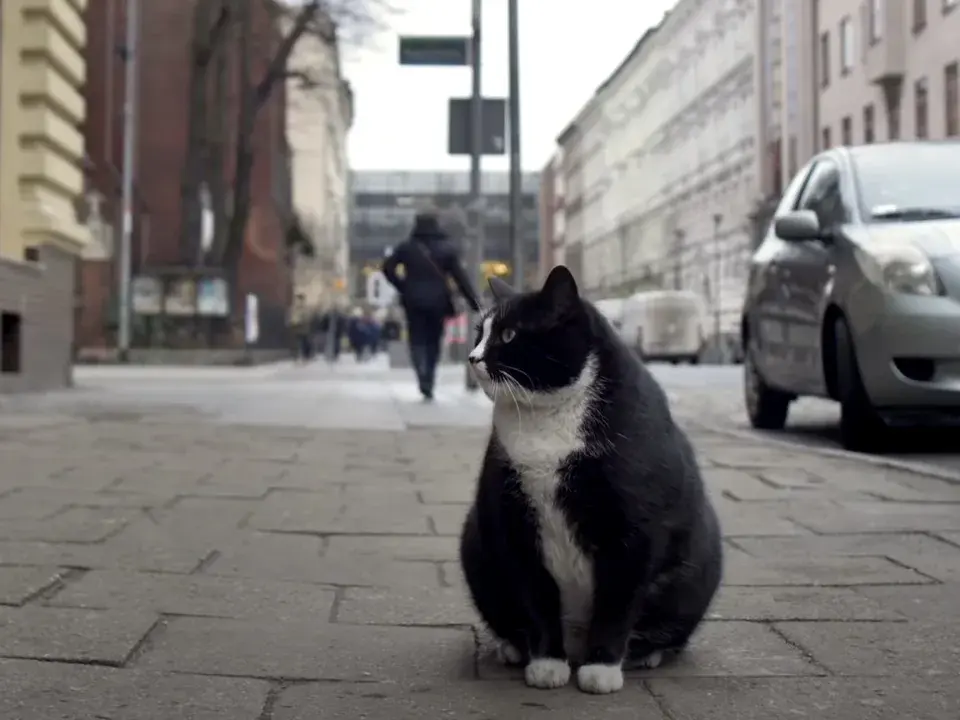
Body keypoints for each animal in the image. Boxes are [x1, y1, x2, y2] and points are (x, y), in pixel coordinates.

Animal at [458, 268, 720, 696]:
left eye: (510, 335)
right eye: (480, 332)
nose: (472, 357)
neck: (547, 422)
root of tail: (576, 645)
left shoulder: (635, 530)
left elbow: (617, 602)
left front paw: (602, 669)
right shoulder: (513, 522)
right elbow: (536, 598)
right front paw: (546, 663)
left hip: (695, 574)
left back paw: (644, 654)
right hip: (476, 546)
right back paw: (514, 648)